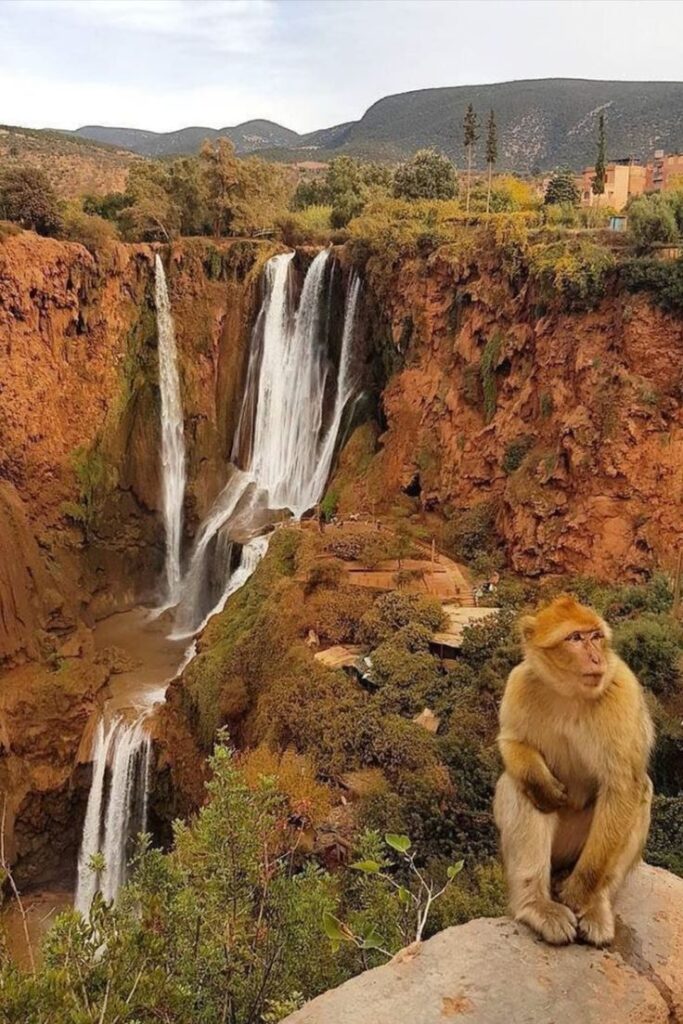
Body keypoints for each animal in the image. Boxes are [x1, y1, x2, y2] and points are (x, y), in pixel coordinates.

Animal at [493, 598, 655, 946]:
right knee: (520, 789)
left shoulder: (622, 691)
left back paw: (595, 902)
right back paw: (537, 905)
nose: (596, 657)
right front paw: (541, 783)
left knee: (640, 793)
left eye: (596, 636)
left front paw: (580, 892)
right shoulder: (519, 683)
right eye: (575, 638)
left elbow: (623, 786)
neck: (570, 693)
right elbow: (513, 742)